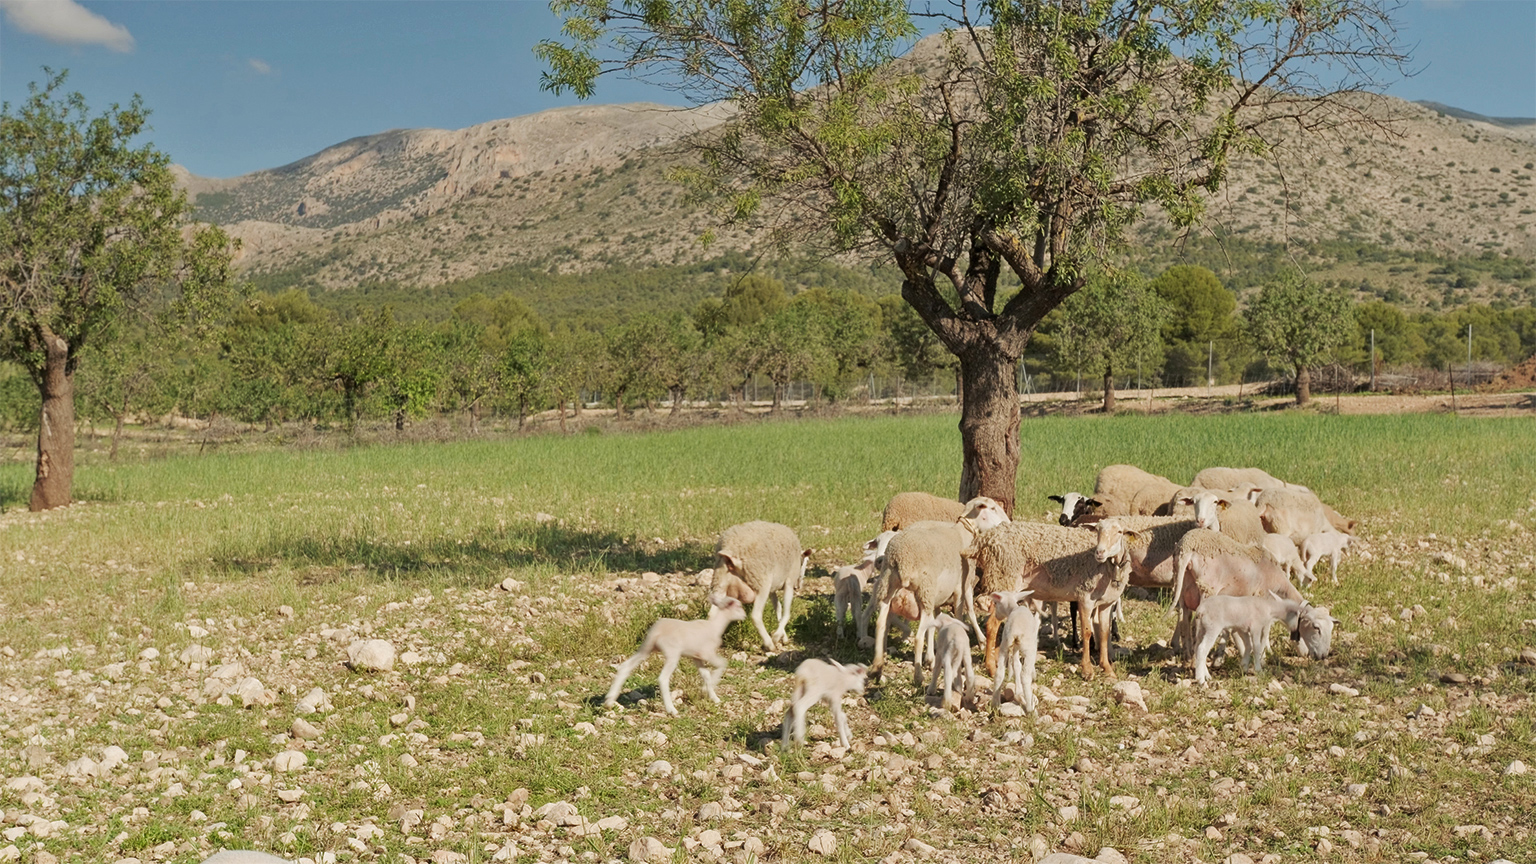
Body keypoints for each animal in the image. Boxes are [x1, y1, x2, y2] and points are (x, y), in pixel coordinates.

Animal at [599, 590, 743, 713]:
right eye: (738, 606)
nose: (744, 615)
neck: (715, 626)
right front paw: (709, 688)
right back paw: (671, 710)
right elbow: (722, 664)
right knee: (663, 678)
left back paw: (609, 700)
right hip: (672, 653)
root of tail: (656, 633)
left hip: (645, 648)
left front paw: (713, 697)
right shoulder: (707, 653)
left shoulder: (696, 657)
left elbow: (706, 675)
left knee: (626, 666)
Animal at [712, 513, 811, 648]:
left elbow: (778, 608)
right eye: (804, 563)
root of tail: (731, 550)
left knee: (712, 611)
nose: (799, 586)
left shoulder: (772, 590)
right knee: (756, 616)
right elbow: (786, 613)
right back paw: (769, 644)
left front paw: (783, 636)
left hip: (720, 581)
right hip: (760, 581)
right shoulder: (788, 582)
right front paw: (777, 637)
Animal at [872, 498, 1013, 685]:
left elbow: (937, 622)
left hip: (888, 586)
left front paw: (934, 655)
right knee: (918, 637)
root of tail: (901, 559)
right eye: (992, 508)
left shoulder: (939, 595)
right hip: (924, 592)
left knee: (881, 624)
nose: (1009, 523)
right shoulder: (961, 587)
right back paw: (918, 676)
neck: (963, 533)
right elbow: (966, 613)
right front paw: (977, 640)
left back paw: (877, 667)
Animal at [970, 516, 1130, 679]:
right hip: (1004, 579)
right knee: (991, 625)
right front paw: (1087, 670)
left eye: (1119, 532)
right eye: (1097, 530)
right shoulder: (1085, 597)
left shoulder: (1106, 603)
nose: (1099, 552)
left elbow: (1104, 633)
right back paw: (991, 667)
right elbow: (1087, 632)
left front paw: (1107, 668)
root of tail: (987, 538)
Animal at [989, 584, 1038, 713]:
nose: (996, 616)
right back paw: (1030, 708)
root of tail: (1015, 631)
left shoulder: (1014, 646)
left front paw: (1018, 691)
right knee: (1025, 676)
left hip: (1004, 645)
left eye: (995, 603)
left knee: (999, 672)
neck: (1013, 608)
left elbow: (1016, 665)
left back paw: (995, 704)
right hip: (1028, 648)